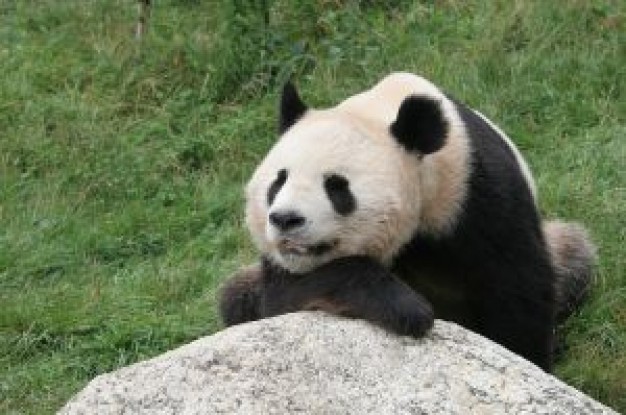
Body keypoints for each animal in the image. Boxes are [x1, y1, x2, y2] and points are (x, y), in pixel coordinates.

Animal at [219, 73, 596, 372]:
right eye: (278, 181)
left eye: (337, 187)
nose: (285, 219)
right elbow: (285, 299)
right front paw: (407, 308)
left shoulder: (475, 191)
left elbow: (517, 289)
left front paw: (528, 359)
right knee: (236, 296)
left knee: (575, 258)